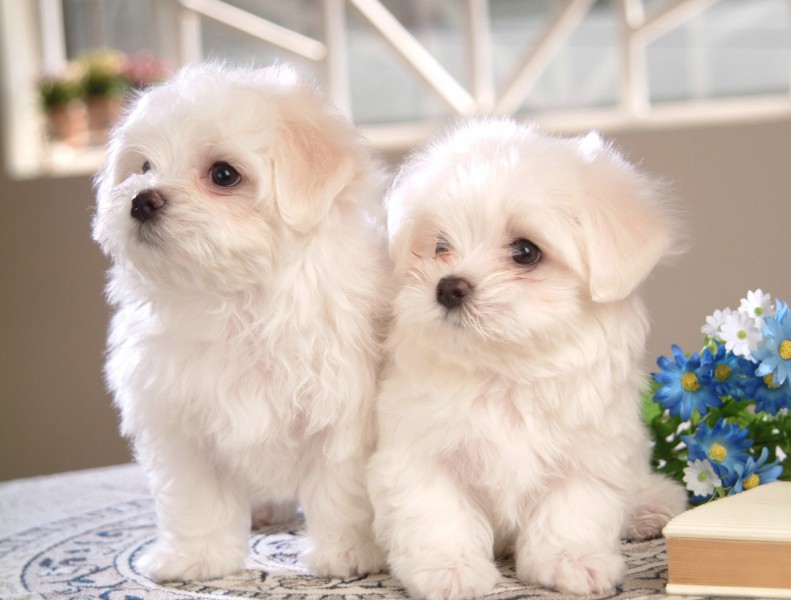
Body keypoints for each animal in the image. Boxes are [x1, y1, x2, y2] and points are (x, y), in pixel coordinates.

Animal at [92, 63, 389, 582]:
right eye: (143, 167)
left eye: (224, 175)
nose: (141, 200)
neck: (236, 303)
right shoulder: (181, 421)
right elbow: (196, 497)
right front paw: (195, 557)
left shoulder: (343, 412)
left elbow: (340, 487)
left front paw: (346, 553)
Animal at [367, 118, 687, 598]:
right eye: (440, 245)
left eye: (526, 252)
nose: (448, 286)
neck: (507, 371)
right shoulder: (419, 451)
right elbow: (437, 514)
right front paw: (449, 570)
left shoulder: (589, 452)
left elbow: (572, 509)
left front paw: (572, 561)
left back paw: (652, 506)